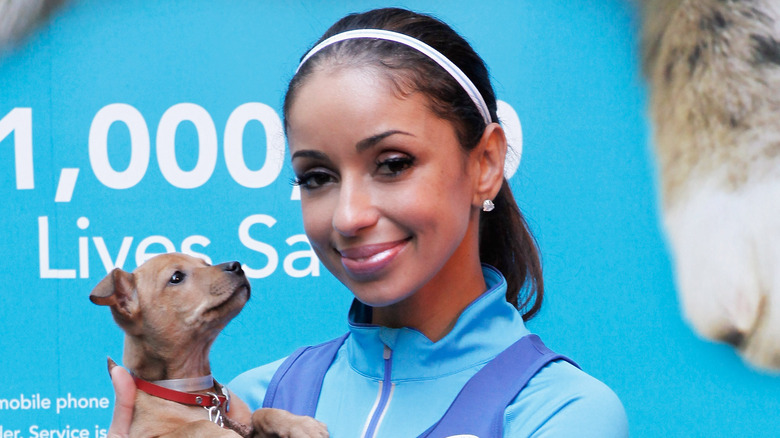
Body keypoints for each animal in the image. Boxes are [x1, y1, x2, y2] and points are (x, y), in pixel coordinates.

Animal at [92, 253, 330, 438]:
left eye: (206, 264)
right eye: (176, 277)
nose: (237, 266)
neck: (195, 393)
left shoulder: (247, 426)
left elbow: (262, 412)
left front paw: (300, 424)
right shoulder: (150, 435)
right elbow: (197, 426)